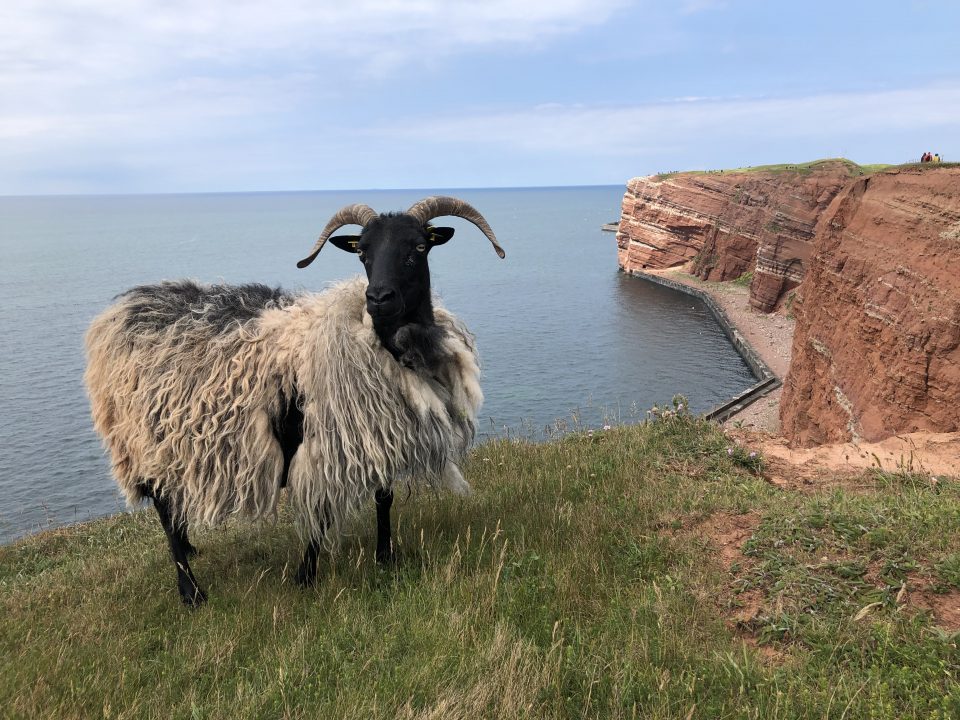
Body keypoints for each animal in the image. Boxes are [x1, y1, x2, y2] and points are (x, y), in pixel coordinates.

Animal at [85, 195, 505, 606]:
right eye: (362, 253)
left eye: (418, 247)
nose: (378, 298)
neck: (379, 342)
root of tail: (123, 306)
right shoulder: (321, 445)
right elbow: (318, 514)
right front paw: (306, 577)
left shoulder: (379, 432)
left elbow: (384, 498)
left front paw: (385, 556)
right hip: (139, 437)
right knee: (163, 507)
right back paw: (190, 590)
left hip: (166, 439)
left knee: (172, 502)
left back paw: (190, 549)